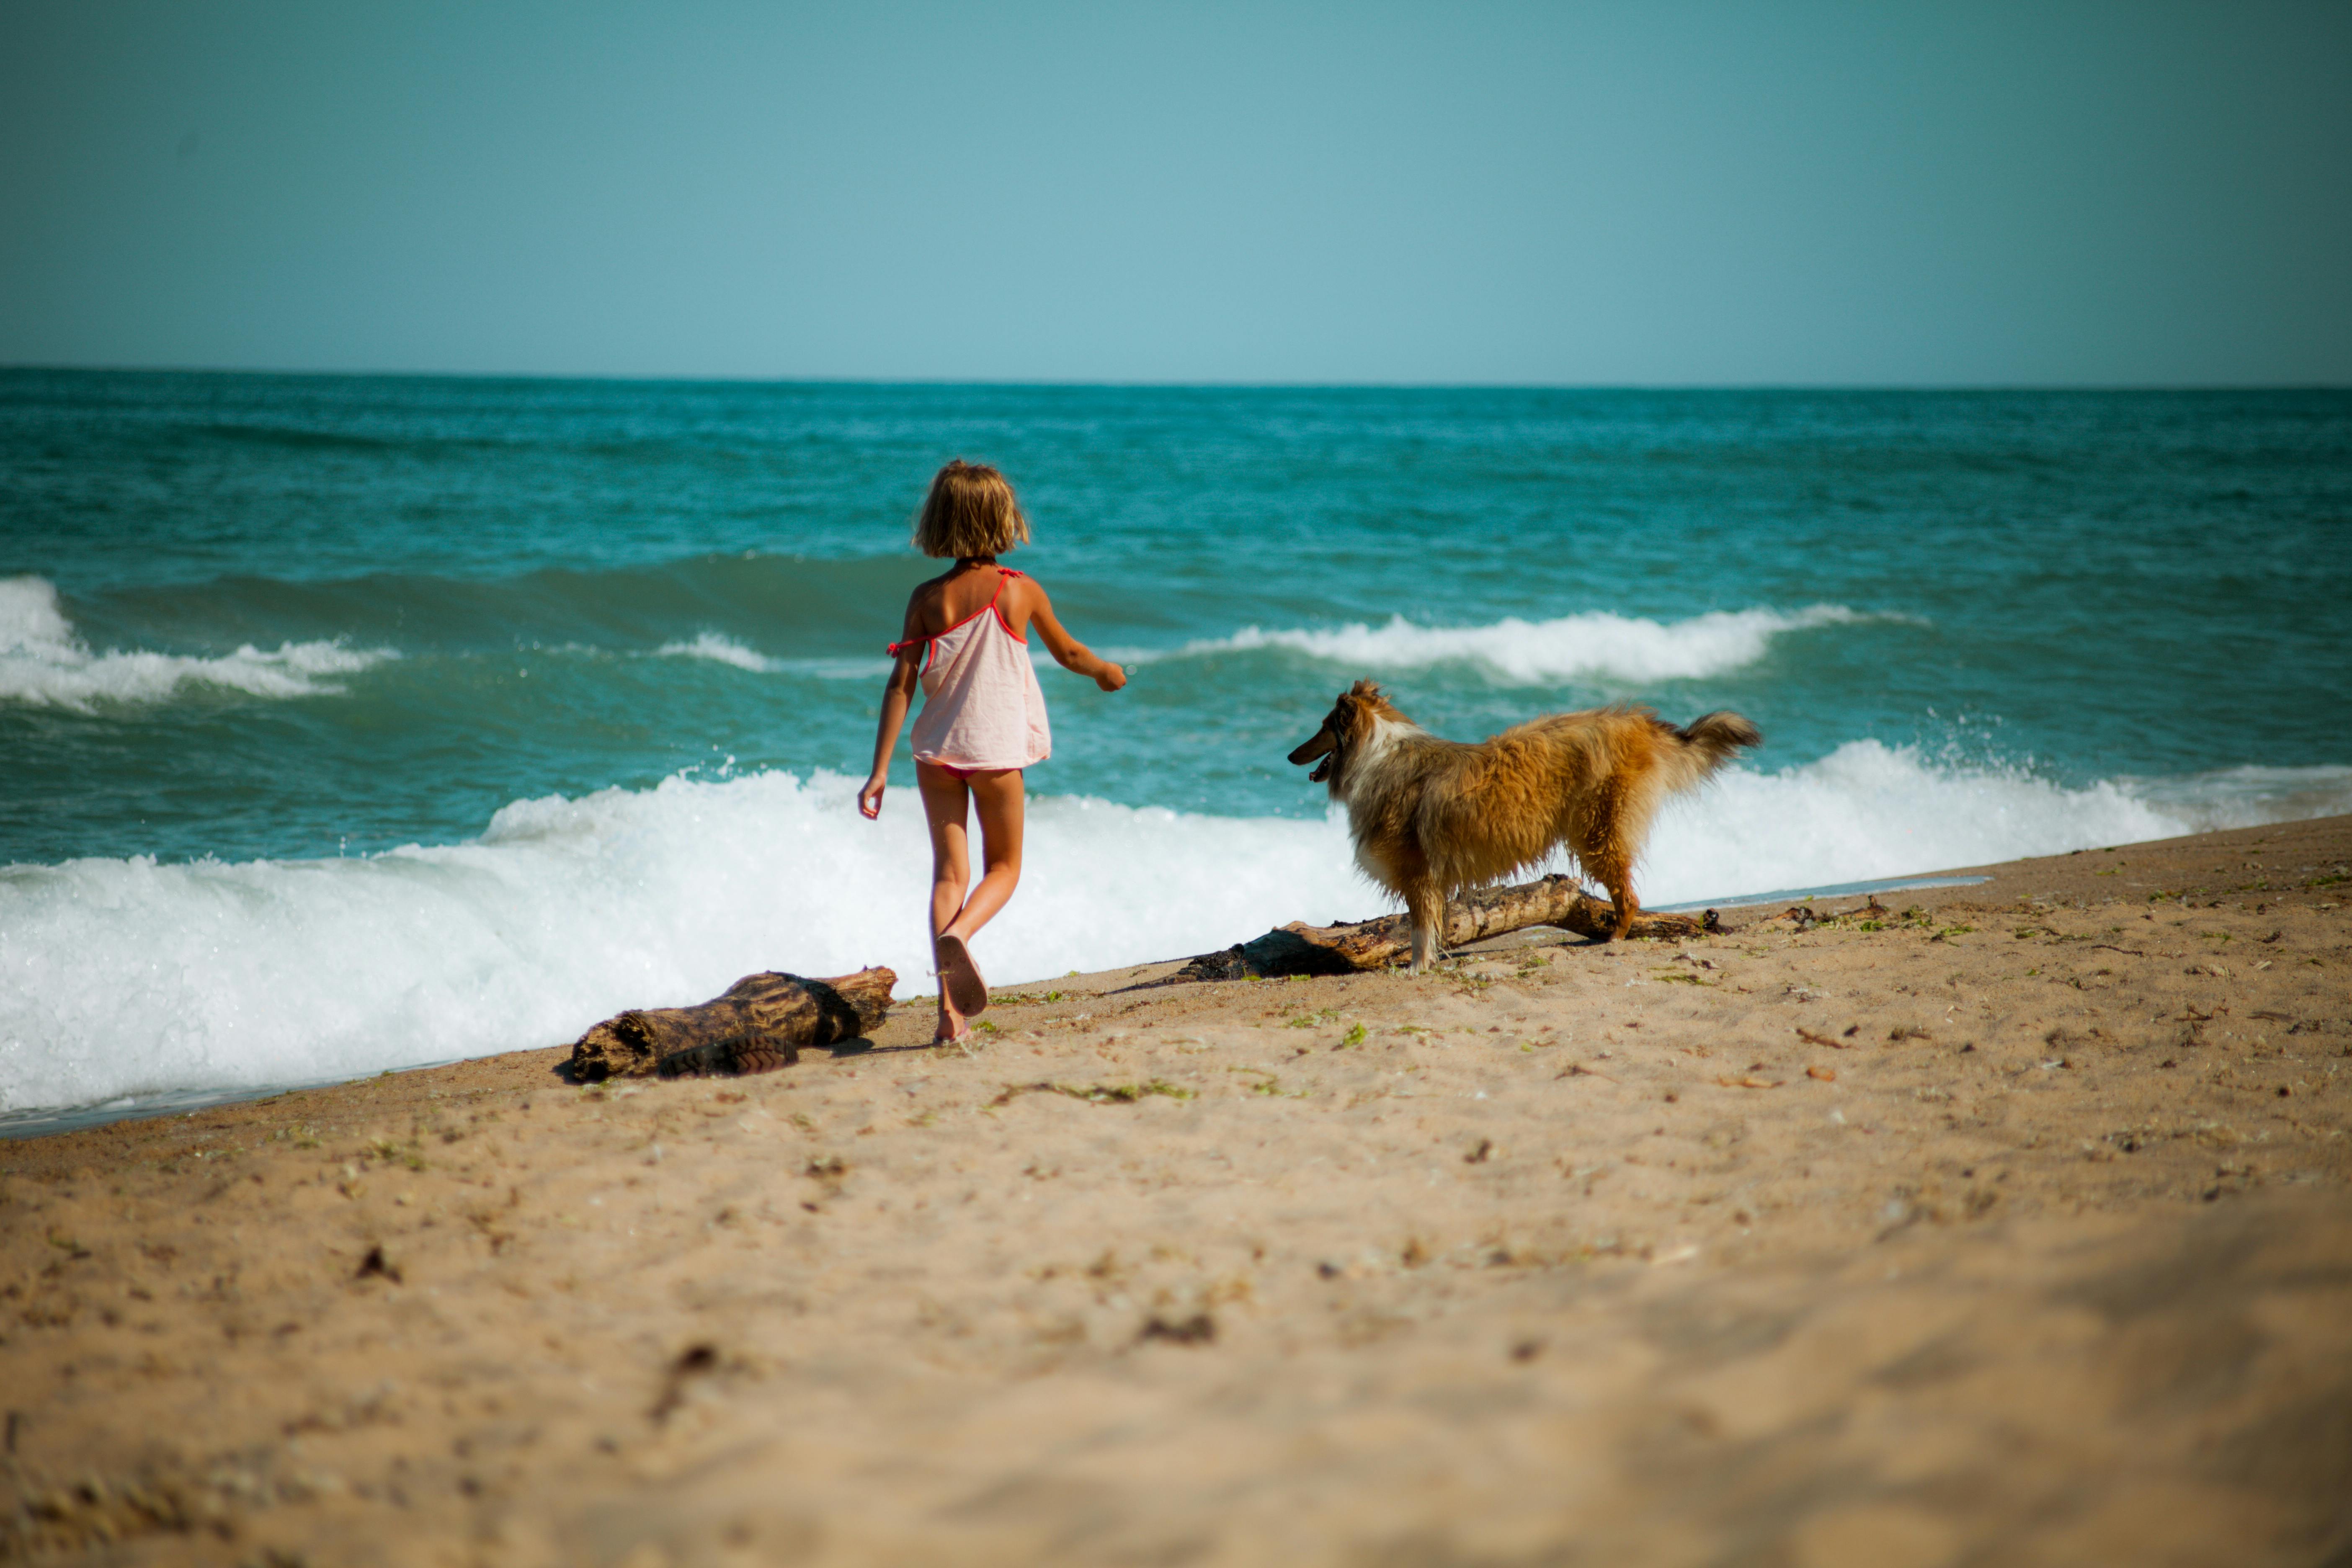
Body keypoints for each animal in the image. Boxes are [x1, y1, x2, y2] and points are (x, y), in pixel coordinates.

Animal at [1289, 681, 1769, 968]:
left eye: (1323, 727)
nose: (1291, 756)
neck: (1375, 753)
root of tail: (1637, 723)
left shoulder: (1417, 873)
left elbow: (1421, 929)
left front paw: (1416, 970)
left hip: (1597, 831)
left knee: (1629, 896)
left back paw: (1613, 939)